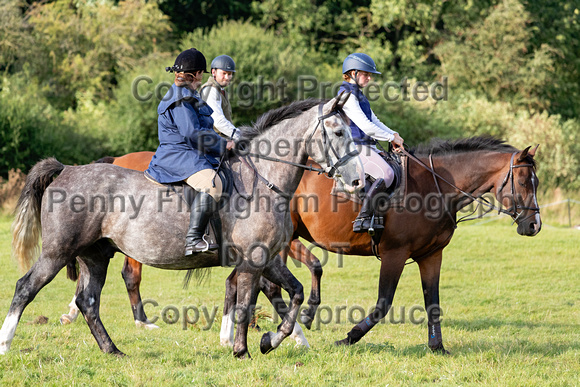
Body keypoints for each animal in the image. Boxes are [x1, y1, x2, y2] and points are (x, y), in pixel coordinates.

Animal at [0, 95, 362, 360]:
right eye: (339, 132)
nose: (358, 182)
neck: (263, 179)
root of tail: (65, 170)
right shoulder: (253, 261)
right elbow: (247, 303)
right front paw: (242, 351)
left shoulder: (268, 259)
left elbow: (294, 292)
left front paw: (270, 341)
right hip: (57, 252)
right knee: (26, 288)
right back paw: (6, 343)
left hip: (95, 256)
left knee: (88, 302)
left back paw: (113, 350)